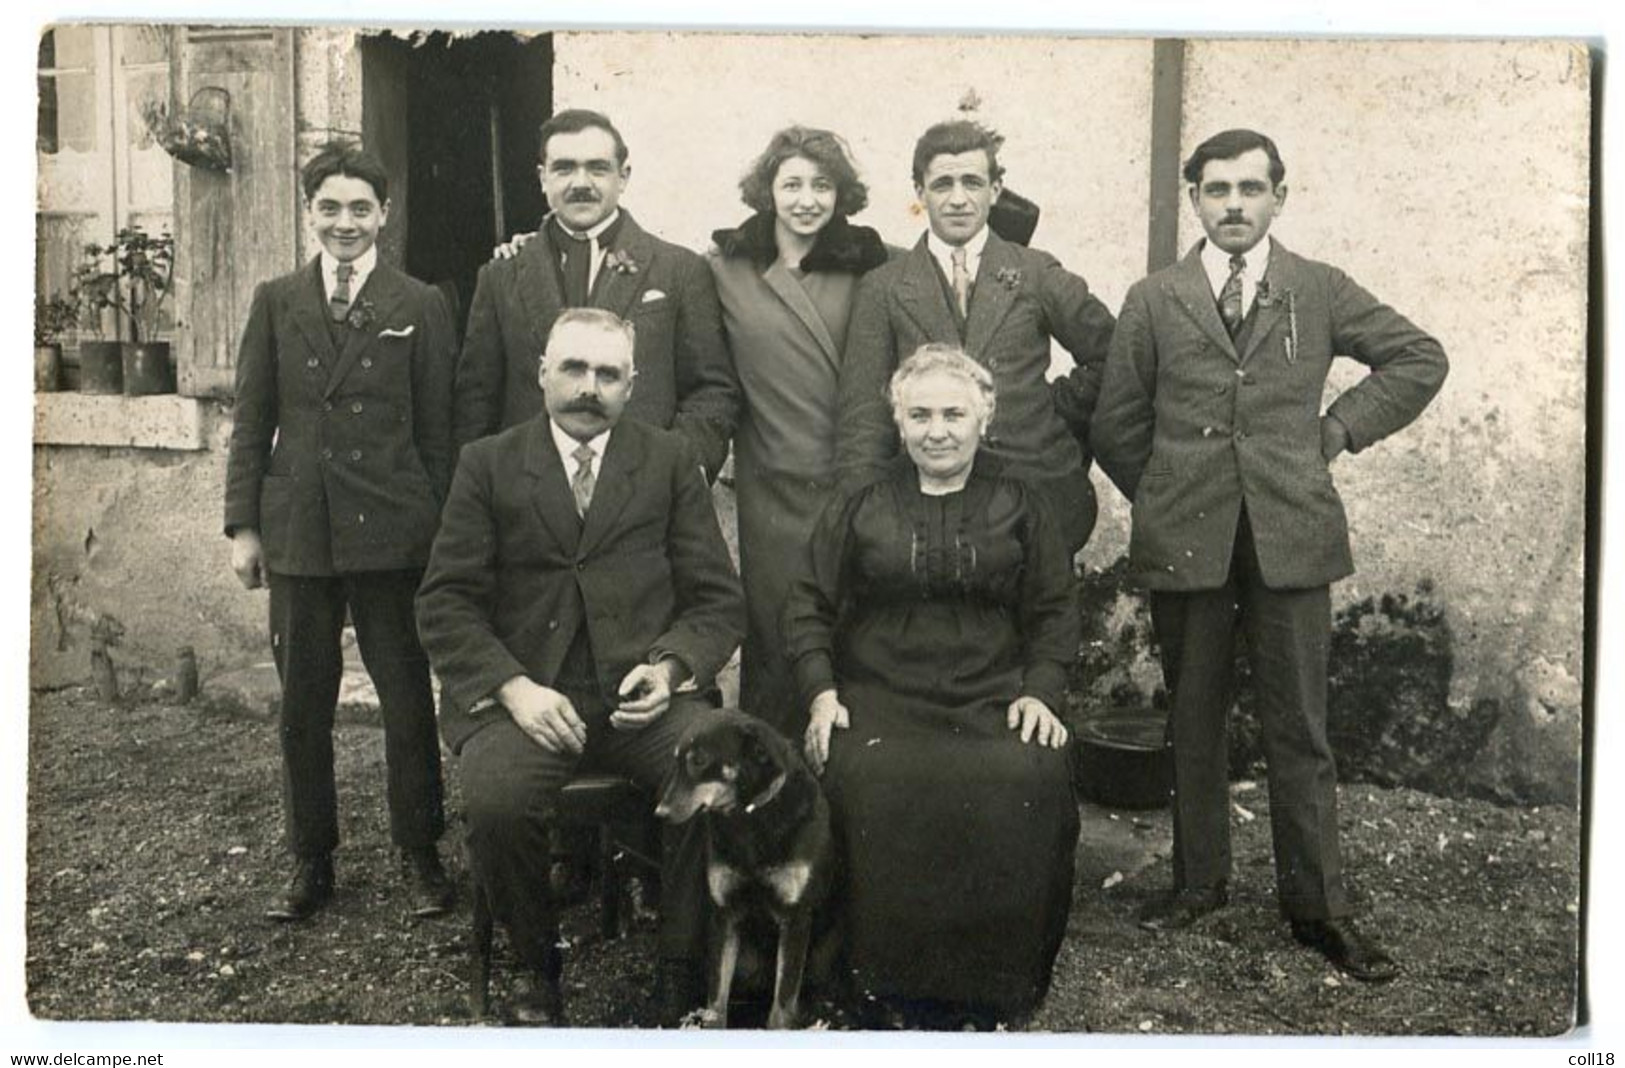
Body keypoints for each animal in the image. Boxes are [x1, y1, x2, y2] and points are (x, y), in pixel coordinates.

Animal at [653, 708, 832, 1027]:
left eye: (699, 761)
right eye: (676, 760)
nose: (659, 813)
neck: (749, 816)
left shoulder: (796, 919)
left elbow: (781, 1008)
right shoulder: (724, 915)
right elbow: (716, 1000)